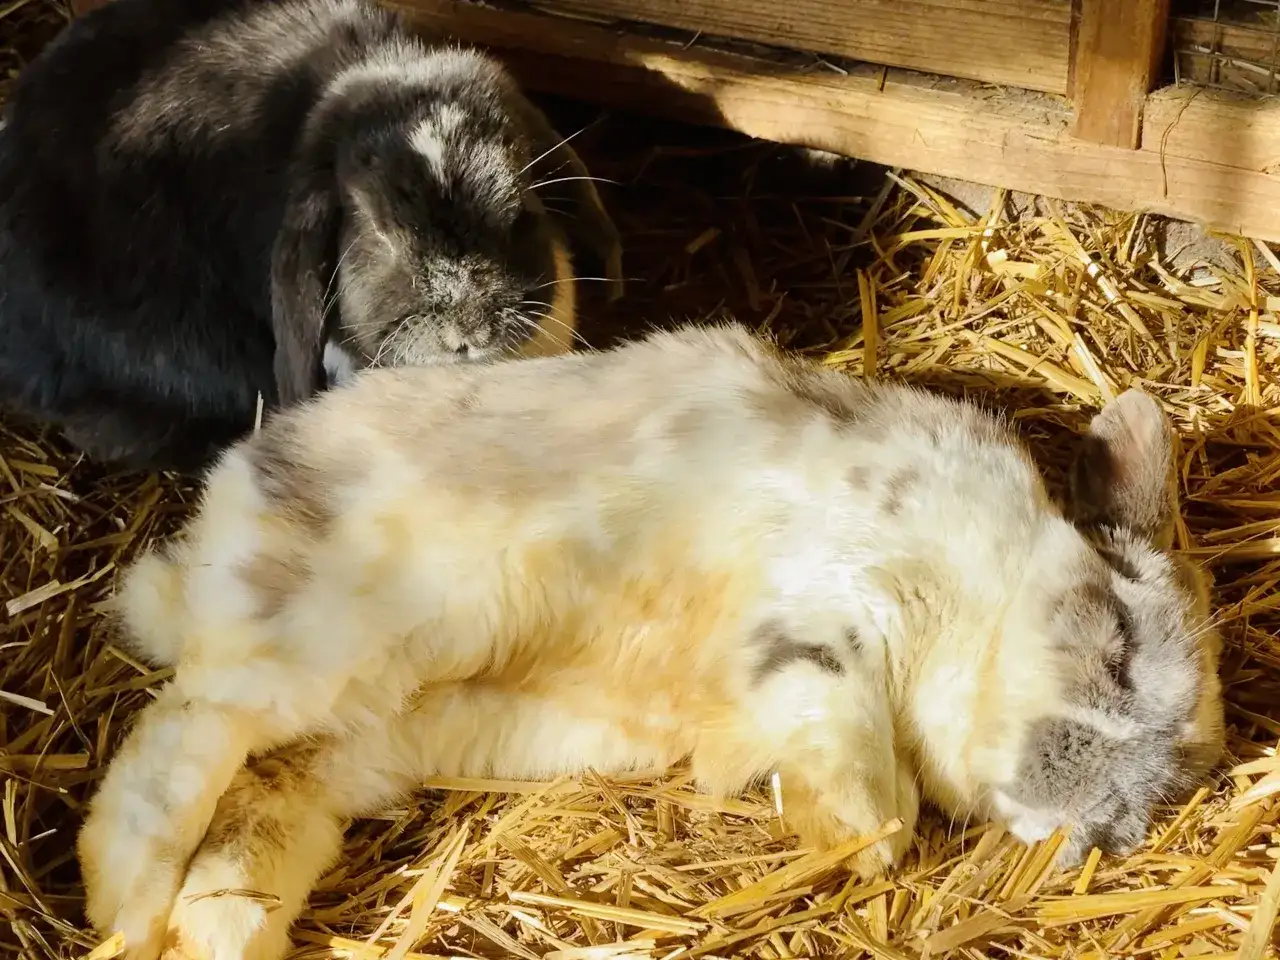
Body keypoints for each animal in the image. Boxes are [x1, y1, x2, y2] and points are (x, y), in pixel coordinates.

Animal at [77, 323, 1225, 960]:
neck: (983, 588)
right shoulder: (833, 607)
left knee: (248, 806)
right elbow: (859, 758)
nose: (1098, 824)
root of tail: (223, 515)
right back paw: (121, 903)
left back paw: (207, 938)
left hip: (351, 747)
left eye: (1170, 786)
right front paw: (849, 837)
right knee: (185, 731)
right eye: (1118, 642)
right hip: (348, 634)